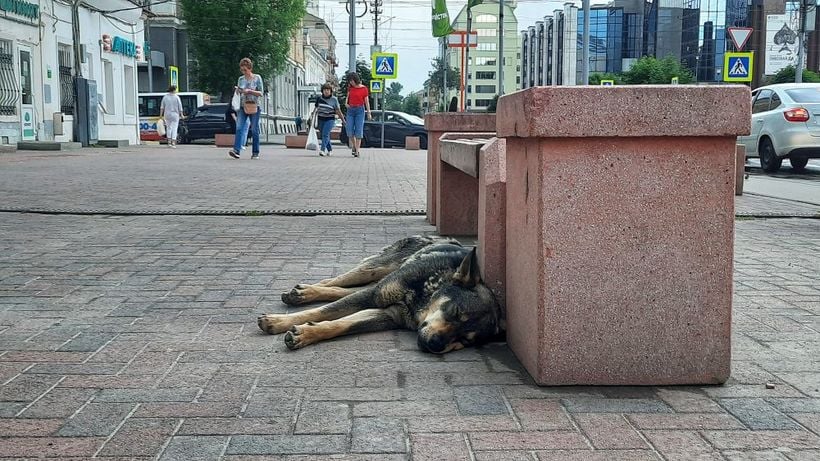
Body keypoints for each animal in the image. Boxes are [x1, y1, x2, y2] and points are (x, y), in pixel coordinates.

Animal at [256, 235, 502, 354]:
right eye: (455, 311)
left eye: (466, 340)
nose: (435, 345)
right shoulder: (375, 297)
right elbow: (322, 312)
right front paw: (278, 322)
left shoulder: (386, 315)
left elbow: (342, 324)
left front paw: (307, 334)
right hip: (375, 268)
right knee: (337, 282)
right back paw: (305, 292)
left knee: (345, 290)